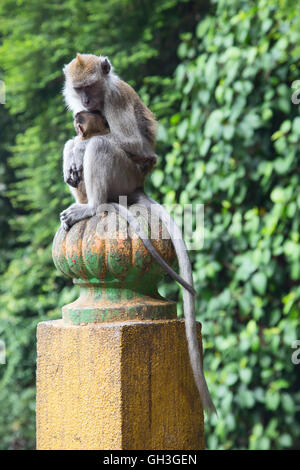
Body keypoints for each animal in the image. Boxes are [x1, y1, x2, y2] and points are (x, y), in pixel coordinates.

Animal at [61, 53, 216, 412]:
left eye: (91, 87)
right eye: (79, 89)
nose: (85, 102)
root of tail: (138, 186)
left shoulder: (116, 98)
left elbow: (129, 142)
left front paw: (79, 146)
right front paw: (72, 146)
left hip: (125, 173)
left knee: (102, 147)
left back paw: (93, 204)